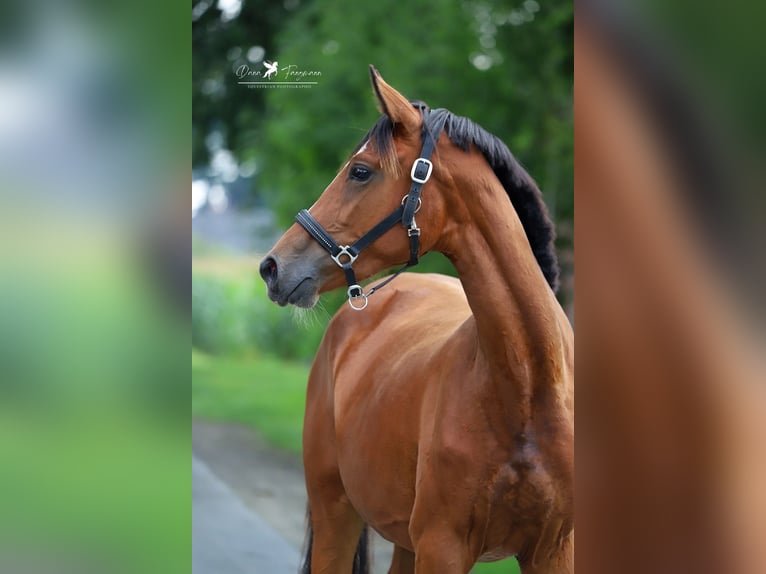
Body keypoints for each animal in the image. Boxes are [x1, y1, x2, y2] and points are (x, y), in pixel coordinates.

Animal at [260, 68, 572, 574]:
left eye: (360, 171)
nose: (272, 267)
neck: (528, 390)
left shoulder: (553, 550)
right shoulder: (442, 547)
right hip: (336, 515)